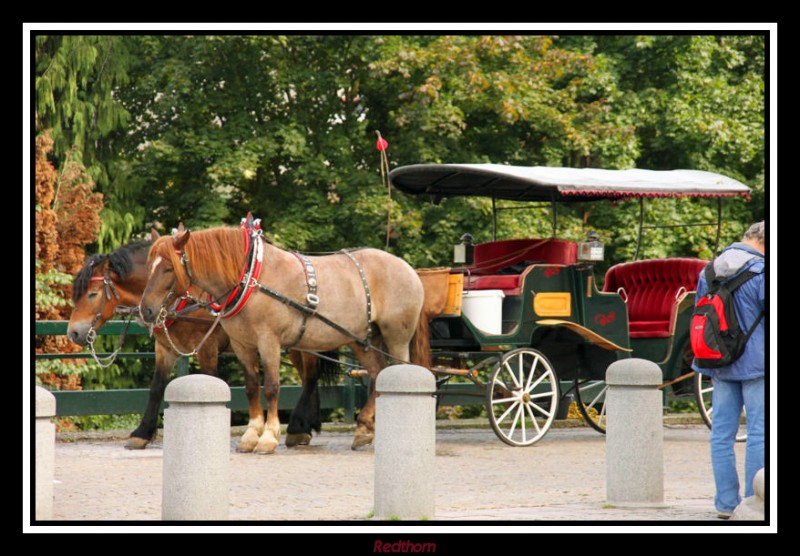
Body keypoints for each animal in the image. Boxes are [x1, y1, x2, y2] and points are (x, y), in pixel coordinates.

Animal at [65, 241, 334, 450]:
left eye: (92, 293)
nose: (73, 333)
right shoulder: (165, 349)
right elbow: (156, 388)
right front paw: (141, 433)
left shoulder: (206, 347)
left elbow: (210, 379)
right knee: (308, 377)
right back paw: (307, 424)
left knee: (310, 376)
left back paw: (298, 425)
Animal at [141, 226, 428, 452]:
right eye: (148, 266)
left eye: (168, 268)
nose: (146, 310)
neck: (251, 278)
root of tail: (408, 268)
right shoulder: (242, 344)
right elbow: (251, 386)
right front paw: (251, 434)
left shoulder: (268, 341)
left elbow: (271, 386)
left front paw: (268, 437)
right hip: (361, 340)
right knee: (378, 373)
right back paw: (364, 428)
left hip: (396, 338)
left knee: (398, 373)